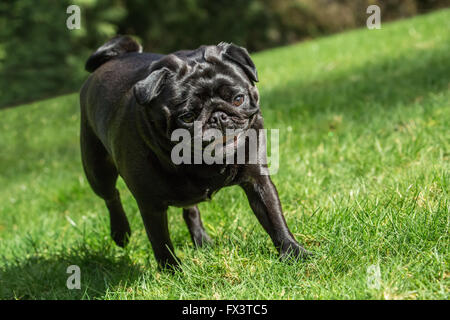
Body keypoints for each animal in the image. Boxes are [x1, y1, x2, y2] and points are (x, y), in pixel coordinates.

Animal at [79, 35, 310, 270]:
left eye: (238, 99)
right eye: (188, 116)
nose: (218, 116)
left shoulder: (258, 181)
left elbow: (273, 218)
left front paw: (293, 252)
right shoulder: (150, 205)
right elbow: (161, 242)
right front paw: (172, 272)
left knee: (190, 209)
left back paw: (201, 240)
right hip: (97, 170)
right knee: (111, 195)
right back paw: (120, 232)